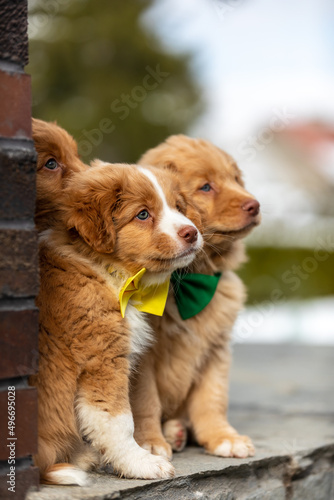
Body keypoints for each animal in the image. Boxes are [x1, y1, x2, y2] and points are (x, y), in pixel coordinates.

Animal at [30, 159, 202, 484]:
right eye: (143, 214)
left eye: (178, 206)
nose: (192, 232)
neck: (106, 269)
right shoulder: (102, 357)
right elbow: (119, 421)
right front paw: (141, 463)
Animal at [131, 134, 260, 460]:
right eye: (206, 187)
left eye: (236, 179)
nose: (255, 205)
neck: (188, 279)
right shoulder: (142, 357)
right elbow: (145, 402)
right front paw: (150, 442)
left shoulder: (215, 349)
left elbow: (211, 400)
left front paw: (223, 437)